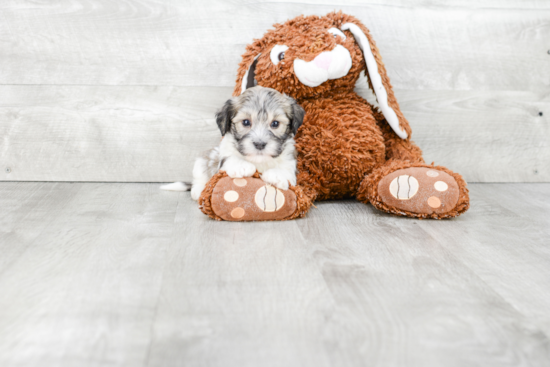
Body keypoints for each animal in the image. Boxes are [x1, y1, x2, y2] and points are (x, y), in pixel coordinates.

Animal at [162, 86, 308, 201]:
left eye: (275, 124)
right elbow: (230, 158)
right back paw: (199, 190)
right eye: (246, 122)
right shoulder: (223, 156)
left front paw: (277, 174)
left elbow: (286, 169)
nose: (259, 144)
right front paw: (241, 166)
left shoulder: (290, 159)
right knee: (198, 179)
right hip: (202, 161)